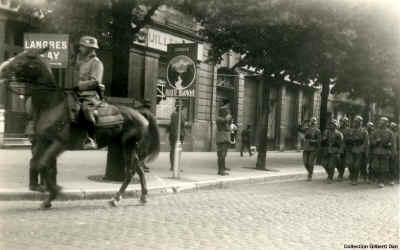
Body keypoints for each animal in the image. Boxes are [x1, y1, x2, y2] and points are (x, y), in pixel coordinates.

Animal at [0, 48, 159, 209]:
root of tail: (140, 113)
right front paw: (48, 197)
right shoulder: (43, 142)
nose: (3, 68)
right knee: (137, 169)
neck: (52, 105)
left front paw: (55, 191)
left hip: (128, 145)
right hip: (126, 146)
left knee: (131, 170)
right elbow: (36, 163)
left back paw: (117, 198)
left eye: (27, 57)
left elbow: (43, 165)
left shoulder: (59, 144)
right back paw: (140, 196)